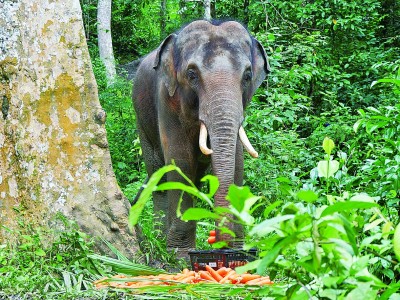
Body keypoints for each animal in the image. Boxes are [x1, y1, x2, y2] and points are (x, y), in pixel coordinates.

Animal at [133, 19, 270, 256]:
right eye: (192, 75)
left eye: (247, 76)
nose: (220, 245)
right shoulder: (167, 100)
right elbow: (180, 162)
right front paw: (178, 255)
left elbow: (237, 164)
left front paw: (240, 251)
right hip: (141, 120)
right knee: (158, 176)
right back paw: (159, 240)